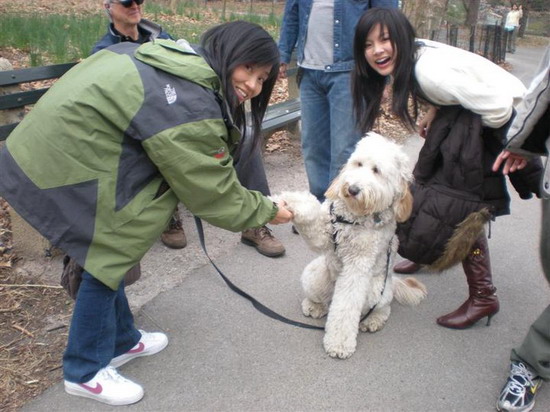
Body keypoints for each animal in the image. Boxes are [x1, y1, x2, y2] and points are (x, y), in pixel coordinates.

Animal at [278, 134, 430, 358]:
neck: (353, 218)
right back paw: (314, 305)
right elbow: (311, 217)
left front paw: (339, 343)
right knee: (323, 299)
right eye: (358, 164)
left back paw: (373, 320)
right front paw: (289, 200)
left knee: (382, 307)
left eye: (376, 170)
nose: (352, 189)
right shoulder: (324, 232)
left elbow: (346, 306)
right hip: (315, 275)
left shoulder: (357, 268)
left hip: (377, 290)